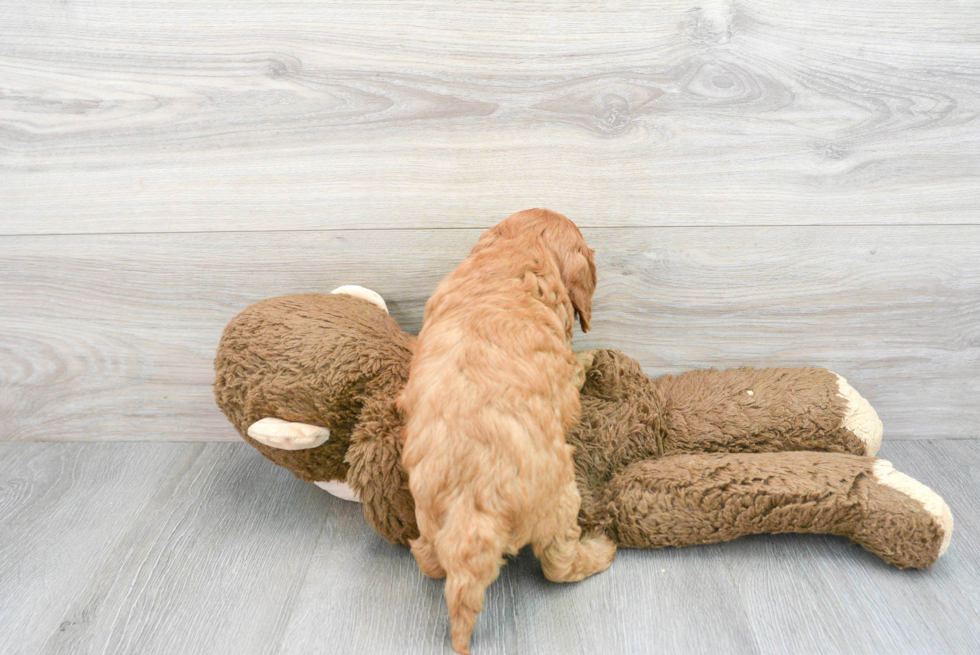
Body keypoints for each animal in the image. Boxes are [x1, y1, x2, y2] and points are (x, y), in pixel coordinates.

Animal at [396, 208, 612, 652]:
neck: (515, 255)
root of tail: (471, 504)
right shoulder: (563, 370)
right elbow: (575, 370)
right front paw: (591, 357)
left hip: (425, 511)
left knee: (428, 558)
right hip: (561, 497)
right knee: (559, 563)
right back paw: (599, 551)